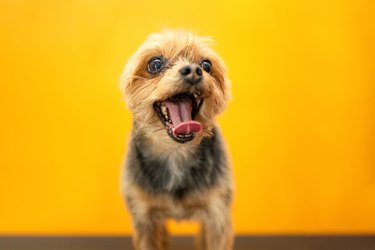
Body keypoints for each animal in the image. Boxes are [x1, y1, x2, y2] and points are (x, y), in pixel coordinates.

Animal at [120, 29, 234, 250]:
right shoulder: (144, 217)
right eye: (155, 64)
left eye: (206, 65)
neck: (175, 153)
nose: (194, 71)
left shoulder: (217, 215)